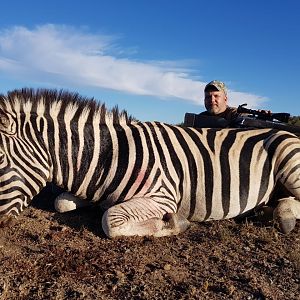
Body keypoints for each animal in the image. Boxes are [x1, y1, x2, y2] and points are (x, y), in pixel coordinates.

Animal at [0, 88, 298, 238]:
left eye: (0, 159)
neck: (110, 157)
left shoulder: (162, 197)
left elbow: (110, 222)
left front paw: (175, 224)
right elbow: (61, 202)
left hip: (288, 156)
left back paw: (283, 215)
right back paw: (269, 210)